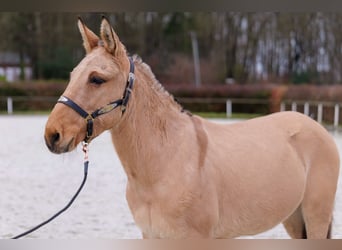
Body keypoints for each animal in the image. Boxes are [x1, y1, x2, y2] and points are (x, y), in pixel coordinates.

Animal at [43, 17, 340, 238]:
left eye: (96, 79)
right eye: (72, 75)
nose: (52, 135)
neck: (166, 162)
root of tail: (317, 127)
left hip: (315, 216)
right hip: (294, 219)